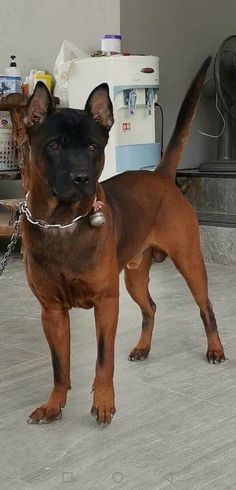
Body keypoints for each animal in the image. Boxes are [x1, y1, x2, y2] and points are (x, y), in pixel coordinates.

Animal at [15, 56, 225, 424]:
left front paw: (103, 402)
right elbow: (59, 366)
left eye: (92, 147)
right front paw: (54, 405)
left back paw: (214, 348)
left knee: (206, 307)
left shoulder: (106, 304)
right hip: (134, 277)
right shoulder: (52, 312)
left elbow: (103, 359)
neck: (63, 223)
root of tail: (161, 176)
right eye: (53, 145)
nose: (82, 178)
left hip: (189, 263)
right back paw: (143, 347)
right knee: (150, 307)